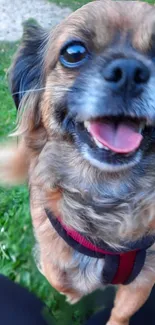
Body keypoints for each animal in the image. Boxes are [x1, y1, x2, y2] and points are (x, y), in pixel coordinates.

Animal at [1, 1, 155, 322]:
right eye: (73, 53)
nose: (130, 71)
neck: (108, 191)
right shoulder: (52, 247)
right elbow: (61, 277)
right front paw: (74, 293)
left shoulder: (145, 277)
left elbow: (122, 312)